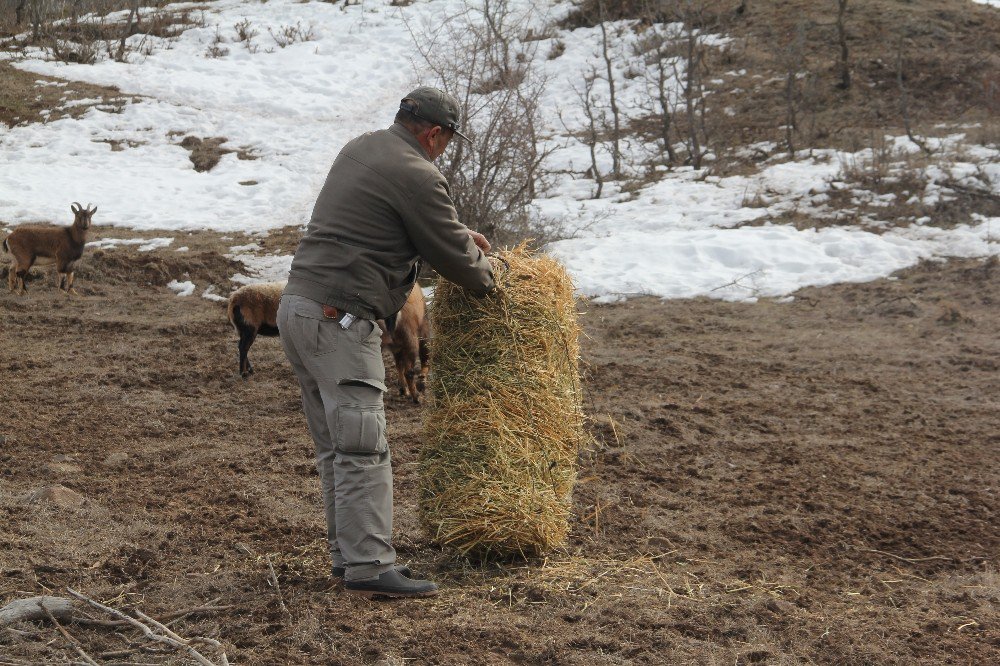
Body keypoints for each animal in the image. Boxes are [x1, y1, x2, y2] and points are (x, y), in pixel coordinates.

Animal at [229, 282, 432, 400]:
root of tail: (233, 300)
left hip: (246, 329)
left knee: (243, 347)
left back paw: (249, 370)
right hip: (250, 328)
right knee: (242, 347)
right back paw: (244, 373)